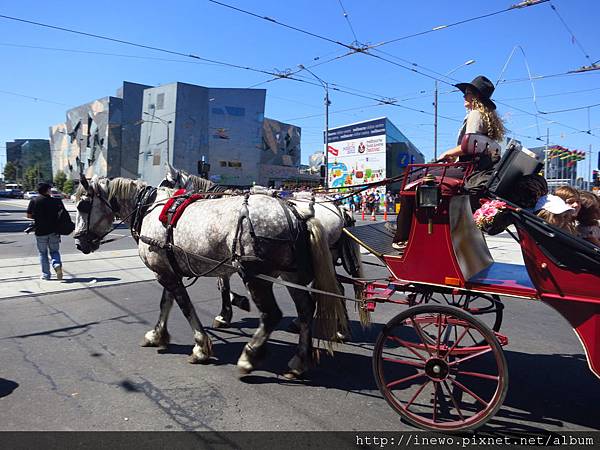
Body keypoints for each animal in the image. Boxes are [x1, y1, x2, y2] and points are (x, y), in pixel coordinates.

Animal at [74, 175, 346, 376]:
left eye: (82, 206)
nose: (78, 243)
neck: (149, 209)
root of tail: (296, 213)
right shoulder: (168, 270)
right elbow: (166, 303)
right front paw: (157, 335)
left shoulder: (167, 274)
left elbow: (185, 307)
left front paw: (200, 347)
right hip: (291, 274)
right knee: (305, 308)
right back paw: (299, 360)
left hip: (255, 275)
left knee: (271, 315)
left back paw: (249, 356)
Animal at [161, 163, 366, 332]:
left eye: (166, 185)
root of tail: (339, 208)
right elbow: (223, 283)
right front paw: (232, 307)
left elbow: (222, 284)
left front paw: (226, 312)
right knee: (334, 287)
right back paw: (337, 327)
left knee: (330, 288)